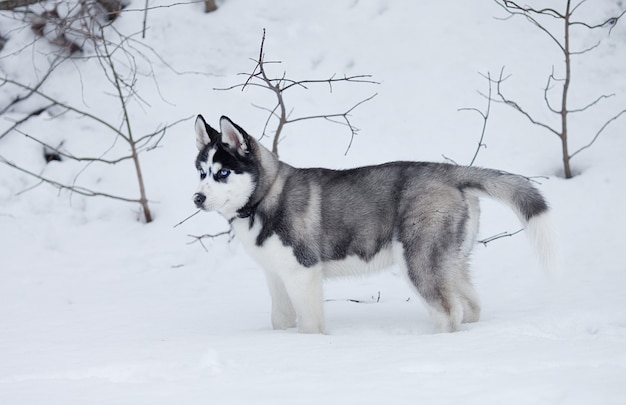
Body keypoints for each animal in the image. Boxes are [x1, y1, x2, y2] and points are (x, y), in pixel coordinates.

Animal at [194, 113, 552, 332]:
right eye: (201, 172)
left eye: (222, 173)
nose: (196, 198)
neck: (265, 196)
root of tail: (451, 171)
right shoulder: (276, 274)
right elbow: (280, 319)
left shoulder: (303, 273)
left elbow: (310, 325)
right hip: (449, 261)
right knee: (471, 304)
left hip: (418, 260)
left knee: (449, 312)